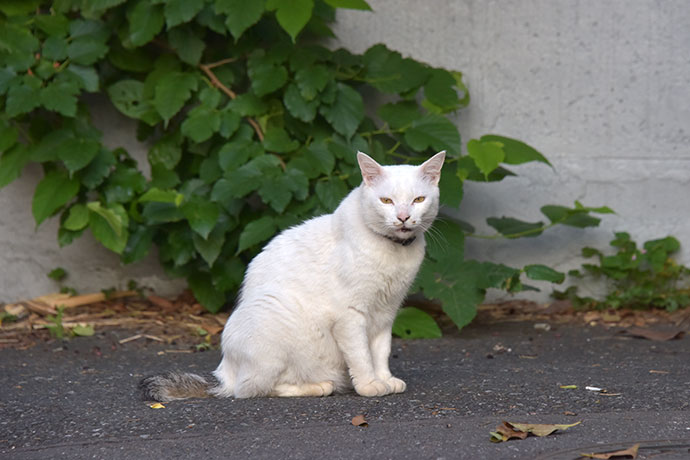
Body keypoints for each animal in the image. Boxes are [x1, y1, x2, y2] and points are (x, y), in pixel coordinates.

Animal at [142, 150, 444, 398]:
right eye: (386, 200)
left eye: (418, 200)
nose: (403, 217)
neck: (394, 252)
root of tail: (223, 374)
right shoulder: (350, 315)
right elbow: (361, 355)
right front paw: (370, 385)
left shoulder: (385, 313)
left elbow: (381, 351)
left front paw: (385, 379)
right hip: (271, 319)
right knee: (253, 388)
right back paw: (320, 387)